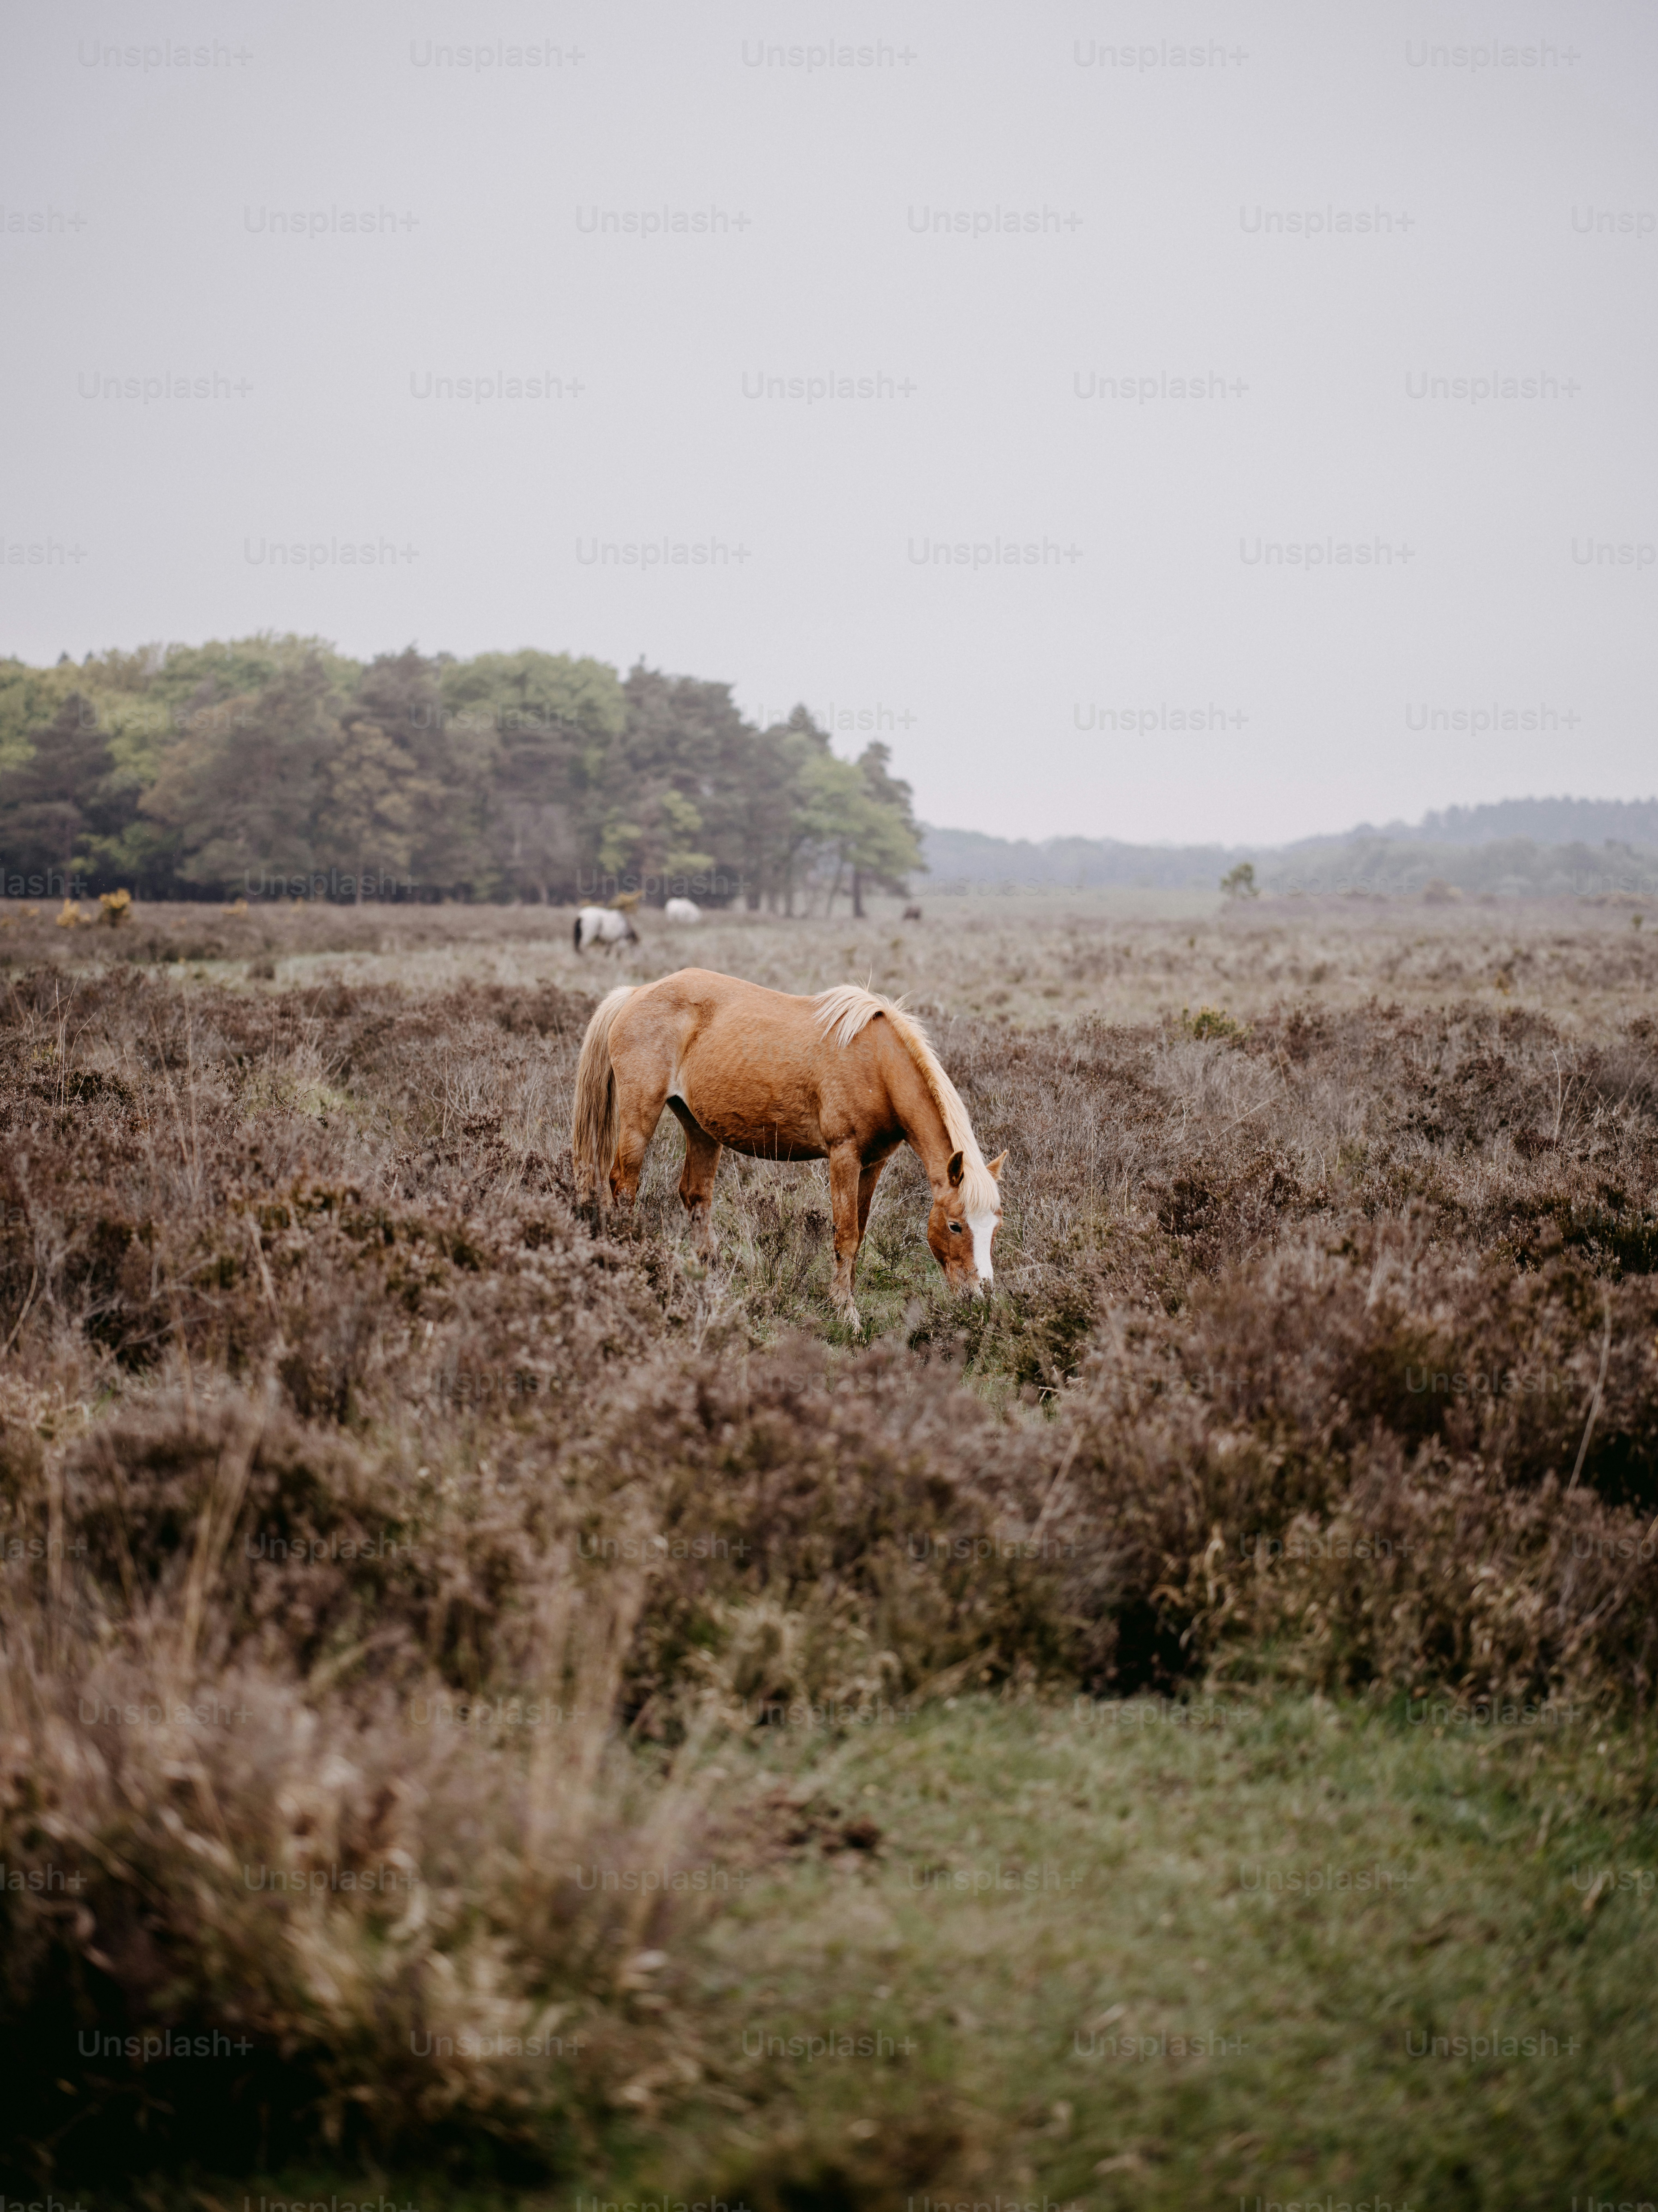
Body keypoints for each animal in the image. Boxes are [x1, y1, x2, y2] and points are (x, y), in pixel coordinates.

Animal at [571, 968, 1005, 1330]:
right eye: (955, 1225)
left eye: (995, 1227)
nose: (980, 1300)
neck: (878, 1066)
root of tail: (634, 994)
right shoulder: (844, 1156)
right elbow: (846, 1235)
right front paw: (846, 1313)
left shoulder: (874, 1163)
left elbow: (860, 1231)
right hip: (639, 1115)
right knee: (624, 1184)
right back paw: (632, 1258)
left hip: (699, 1126)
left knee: (695, 1195)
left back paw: (707, 1276)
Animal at [573, 905, 638, 954]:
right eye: (635, 947)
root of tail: (581, 916)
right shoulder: (621, 940)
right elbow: (619, 953)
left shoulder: (610, 941)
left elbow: (608, 952)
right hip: (588, 935)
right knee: (583, 946)